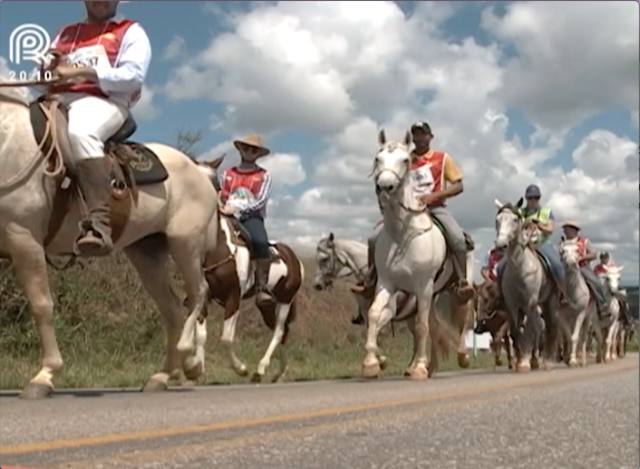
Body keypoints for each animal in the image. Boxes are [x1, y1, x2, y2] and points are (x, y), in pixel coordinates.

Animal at [0, 87, 218, 394]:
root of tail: (200, 170)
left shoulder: (24, 239)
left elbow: (41, 305)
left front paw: (45, 376)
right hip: (147, 255)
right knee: (173, 310)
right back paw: (162, 376)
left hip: (185, 243)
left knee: (199, 293)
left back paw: (190, 360)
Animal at [196, 156, 304, 380]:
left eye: (216, 185)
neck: (218, 247)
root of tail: (295, 259)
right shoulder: (204, 296)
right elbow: (201, 334)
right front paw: (195, 371)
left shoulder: (234, 297)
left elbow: (226, 338)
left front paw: (241, 368)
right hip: (266, 305)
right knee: (282, 332)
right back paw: (278, 373)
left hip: (285, 300)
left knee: (279, 331)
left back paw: (261, 369)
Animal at [362, 130, 472, 378]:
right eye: (377, 158)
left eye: (405, 160)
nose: (384, 187)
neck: (402, 235)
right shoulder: (387, 284)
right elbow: (374, 314)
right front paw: (372, 362)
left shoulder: (423, 286)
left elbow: (422, 326)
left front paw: (420, 367)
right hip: (432, 294)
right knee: (433, 326)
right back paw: (424, 366)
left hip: (457, 289)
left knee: (463, 318)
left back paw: (461, 357)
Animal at [492, 199, 556, 372]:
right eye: (497, 220)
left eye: (515, 219)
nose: (501, 245)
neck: (519, 269)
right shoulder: (512, 304)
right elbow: (515, 331)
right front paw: (520, 361)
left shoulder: (530, 302)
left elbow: (530, 331)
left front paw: (527, 362)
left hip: (547, 302)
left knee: (546, 328)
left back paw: (546, 361)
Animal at [556, 238, 596, 366]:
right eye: (562, 251)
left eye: (577, 250)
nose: (570, 263)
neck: (574, 293)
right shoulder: (562, 317)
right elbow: (569, 337)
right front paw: (569, 359)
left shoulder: (581, 314)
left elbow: (575, 337)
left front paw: (573, 360)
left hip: (588, 318)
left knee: (583, 338)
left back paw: (582, 359)